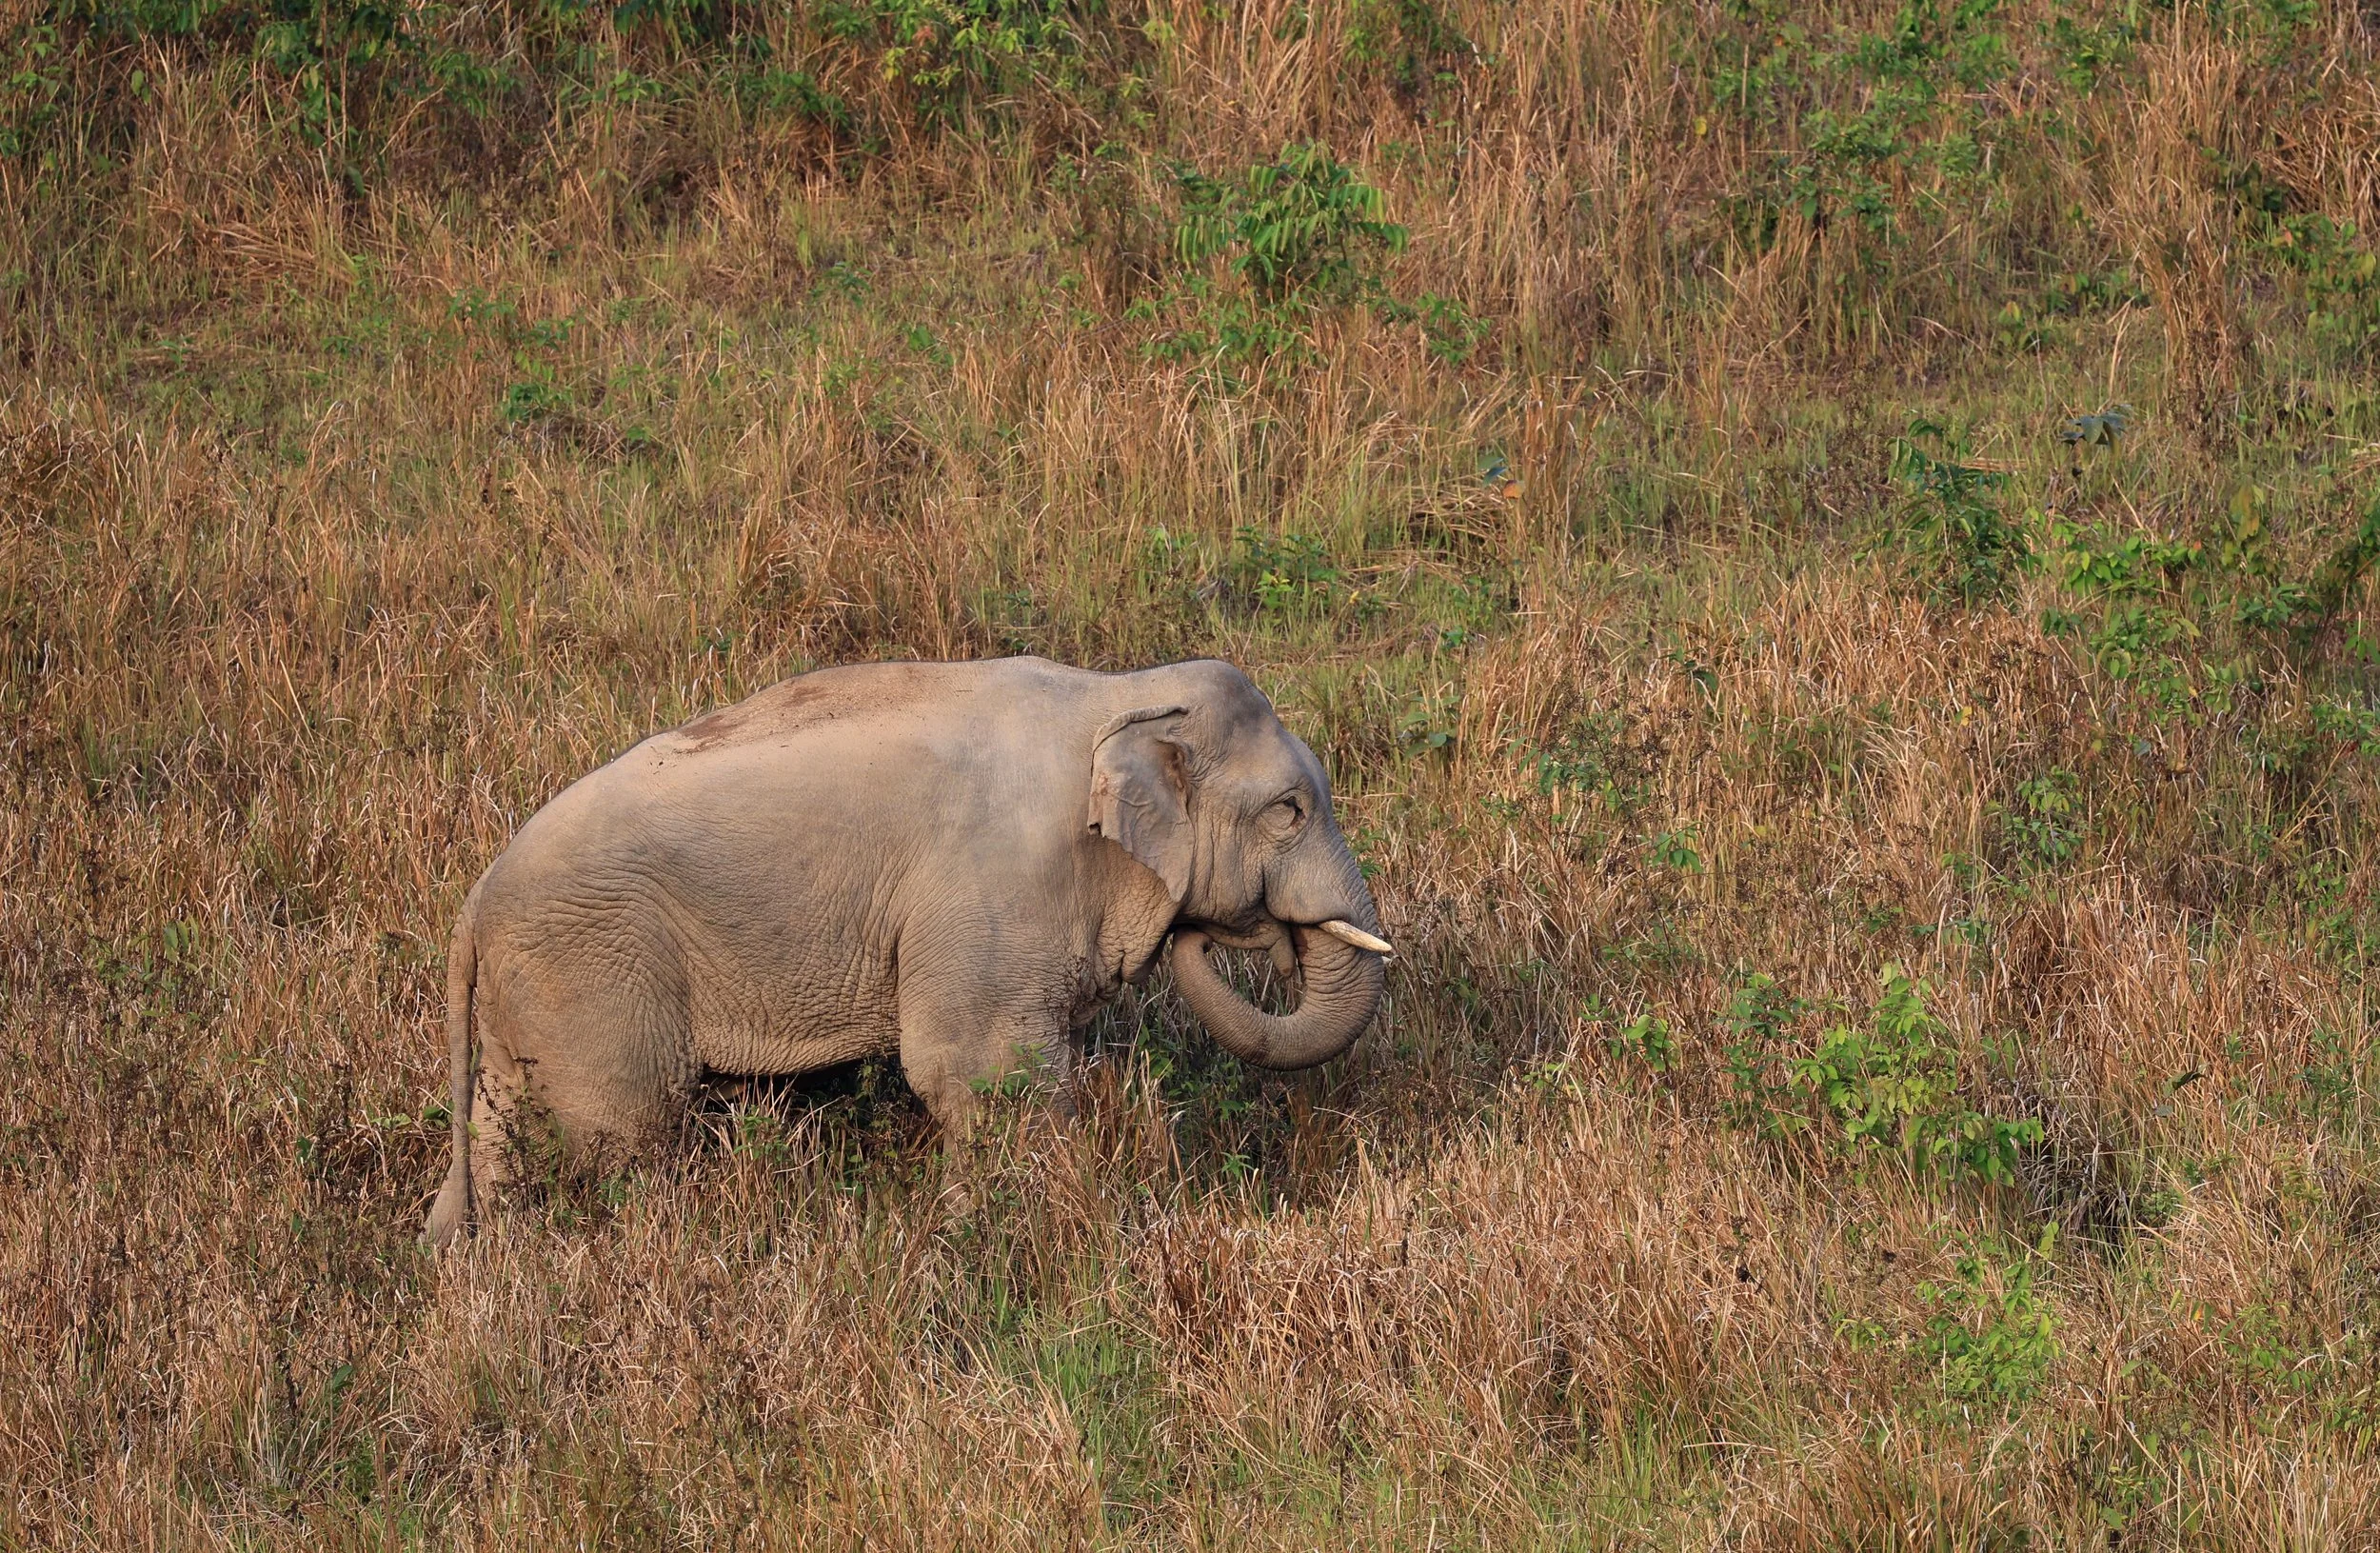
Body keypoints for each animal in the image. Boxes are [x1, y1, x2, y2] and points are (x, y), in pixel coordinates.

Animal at [422, 655, 1392, 1245]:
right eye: (1290, 810)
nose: (1252, 936)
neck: (1117, 694)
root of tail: (472, 904)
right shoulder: (992, 894)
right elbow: (980, 1071)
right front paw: (978, 1239)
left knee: (503, 1133)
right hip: (596, 970)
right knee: (616, 1133)